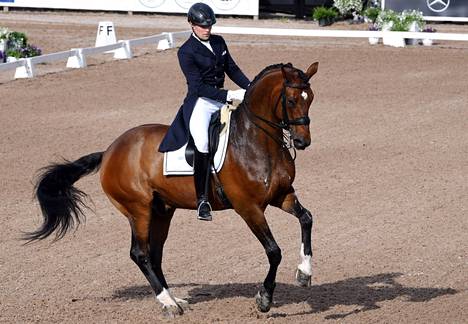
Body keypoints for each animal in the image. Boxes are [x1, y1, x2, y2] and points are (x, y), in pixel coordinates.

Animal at [27, 62, 320, 318]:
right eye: (291, 100)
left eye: (311, 98)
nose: (302, 142)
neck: (256, 141)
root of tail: (110, 151)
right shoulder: (248, 208)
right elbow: (273, 251)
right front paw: (264, 299)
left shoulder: (282, 195)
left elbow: (307, 219)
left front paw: (304, 272)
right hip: (139, 210)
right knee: (140, 254)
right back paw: (168, 303)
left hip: (162, 211)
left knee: (154, 254)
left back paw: (174, 299)